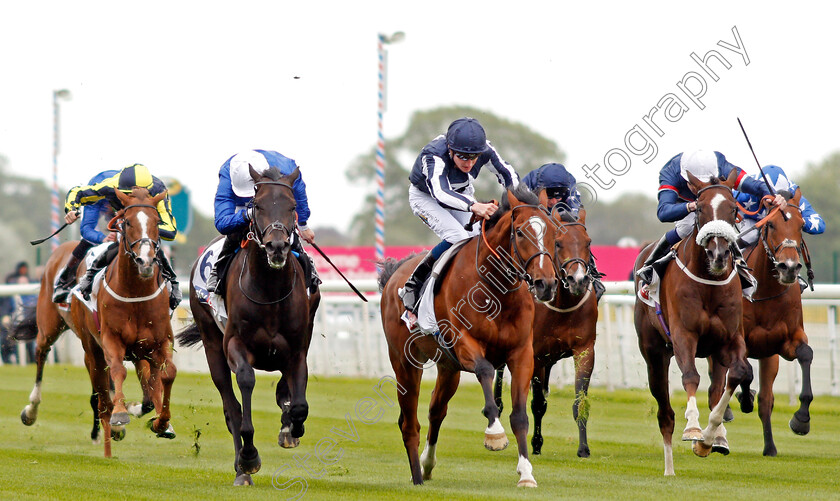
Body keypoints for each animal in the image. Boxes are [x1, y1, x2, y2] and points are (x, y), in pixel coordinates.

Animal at [176, 167, 318, 484]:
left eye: (292, 206)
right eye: (259, 206)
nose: (277, 247)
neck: (270, 291)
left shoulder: (297, 348)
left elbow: (299, 403)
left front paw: (292, 427)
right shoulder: (234, 344)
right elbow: (245, 384)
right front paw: (250, 456)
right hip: (212, 345)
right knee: (231, 408)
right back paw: (242, 469)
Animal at [378, 184, 556, 484]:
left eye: (554, 232)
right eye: (521, 232)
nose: (547, 284)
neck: (496, 292)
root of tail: (393, 277)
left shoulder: (521, 354)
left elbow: (520, 416)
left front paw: (526, 473)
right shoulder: (464, 343)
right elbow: (485, 371)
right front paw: (494, 434)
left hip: (448, 368)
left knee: (436, 411)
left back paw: (426, 465)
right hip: (405, 363)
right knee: (409, 422)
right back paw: (416, 477)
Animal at [488, 205, 600, 456]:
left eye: (588, 242)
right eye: (558, 243)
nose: (578, 280)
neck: (563, 305)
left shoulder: (584, 349)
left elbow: (580, 400)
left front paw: (584, 448)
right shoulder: (536, 354)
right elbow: (538, 403)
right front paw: (536, 443)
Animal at [632, 170, 752, 474]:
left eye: (733, 209)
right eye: (699, 208)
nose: (719, 255)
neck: (709, 283)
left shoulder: (730, 338)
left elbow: (738, 374)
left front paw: (709, 439)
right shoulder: (683, 335)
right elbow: (690, 377)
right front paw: (694, 429)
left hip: (714, 352)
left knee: (715, 388)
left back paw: (718, 437)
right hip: (654, 353)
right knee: (665, 413)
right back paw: (669, 469)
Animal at [708, 189, 812, 456]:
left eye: (802, 225)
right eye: (771, 224)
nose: (789, 267)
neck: (765, 290)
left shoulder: (784, 343)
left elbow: (806, 354)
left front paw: (801, 420)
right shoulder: (738, 340)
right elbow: (744, 372)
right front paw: (744, 399)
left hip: (769, 356)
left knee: (766, 399)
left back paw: (770, 447)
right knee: (716, 386)